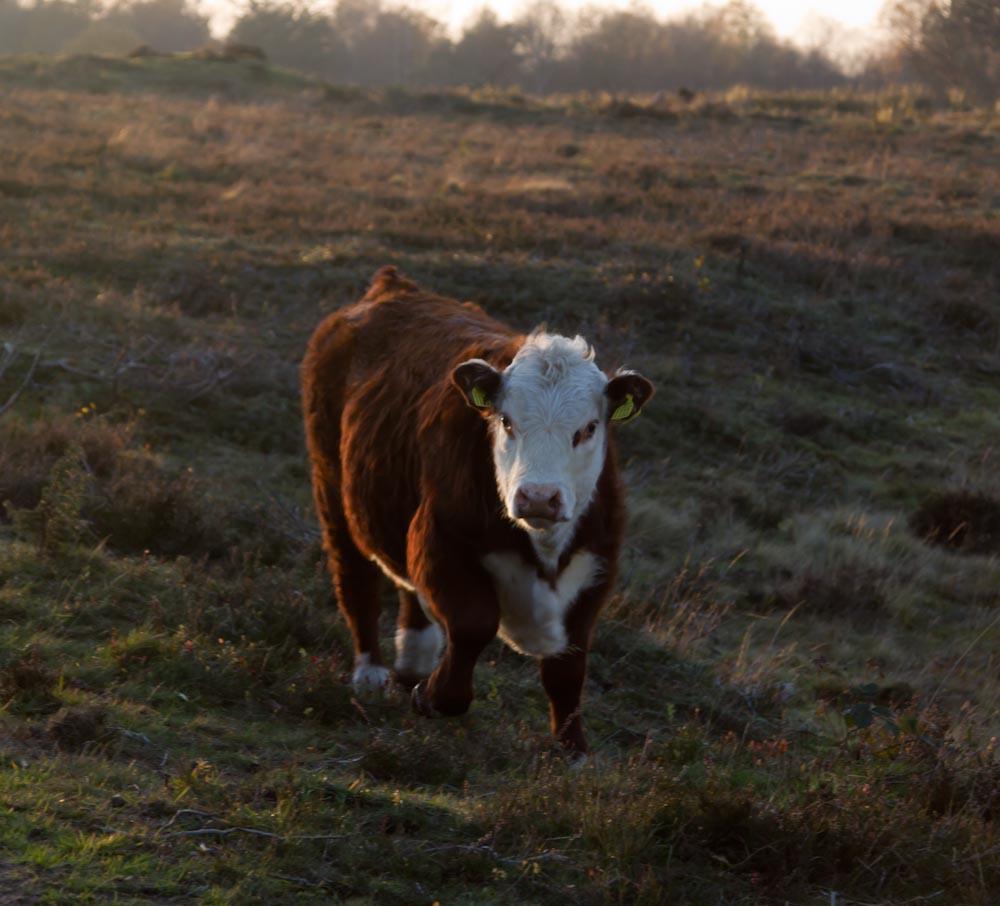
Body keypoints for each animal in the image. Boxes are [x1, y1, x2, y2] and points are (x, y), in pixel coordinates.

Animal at [300, 268, 652, 756]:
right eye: (506, 421)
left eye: (588, 428)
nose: (538, 496)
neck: (543, 551)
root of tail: (392, 286)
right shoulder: (441, 541)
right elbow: (472, 624)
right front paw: (432, 697)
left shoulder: (597, 569)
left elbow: (568, 668)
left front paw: (573, 749)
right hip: (331, 485)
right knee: (355, 576)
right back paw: (371, 671)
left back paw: (413, 661)